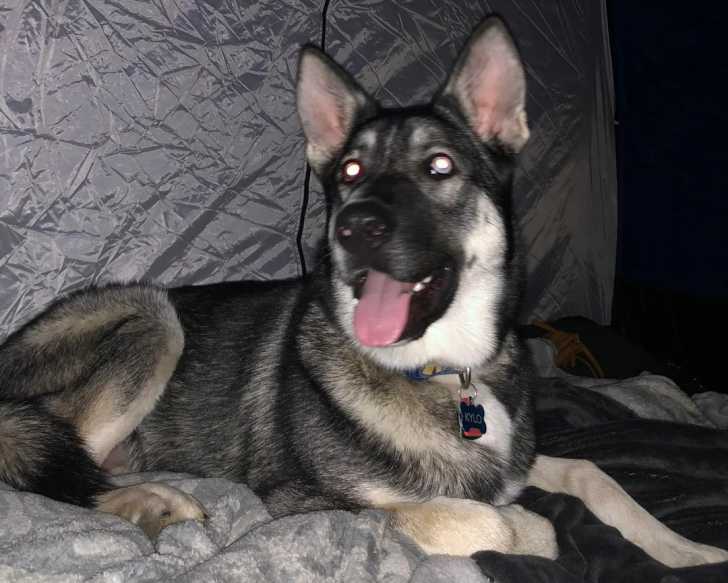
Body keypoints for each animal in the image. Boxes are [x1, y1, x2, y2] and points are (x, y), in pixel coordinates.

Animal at [0, 16, 725, 567]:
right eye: (349, 170)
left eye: (440, 166)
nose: (355, 227)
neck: (445, 370)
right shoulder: (305, 498)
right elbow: (493, 519)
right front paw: (533, 530)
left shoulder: (514, 462)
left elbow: (593, 474)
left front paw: (688, 549)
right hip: (154, 318)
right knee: (52, 466)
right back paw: (154, 502)